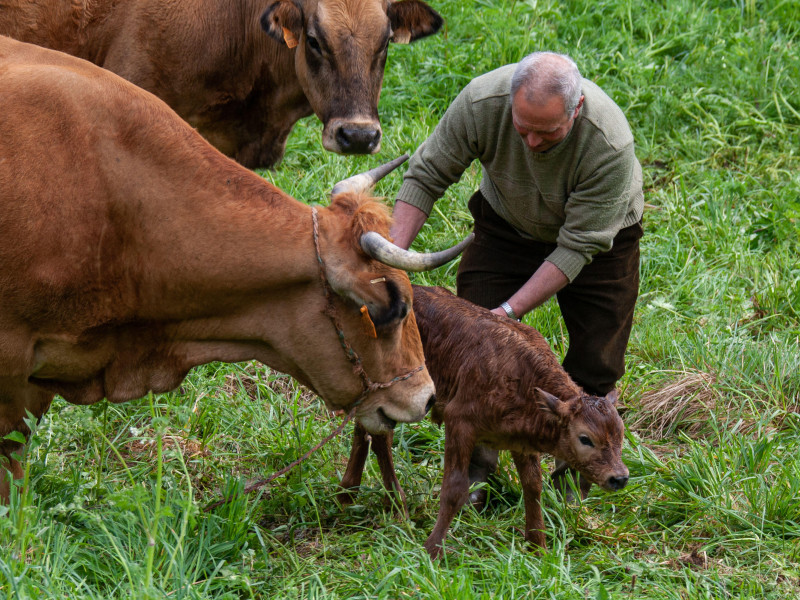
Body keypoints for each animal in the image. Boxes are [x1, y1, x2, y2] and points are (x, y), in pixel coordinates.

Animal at [340, 286, 628, 556]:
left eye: (621, 436)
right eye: (585, 438)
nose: (620, 478)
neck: (521, 380)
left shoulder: (522, 441)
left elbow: (532, 487)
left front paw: (538, 547)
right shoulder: (459, 421)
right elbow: (455, 489)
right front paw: (432, 550)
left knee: (365, 428)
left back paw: (348, 492)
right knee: (381, 439)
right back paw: (396, 505)